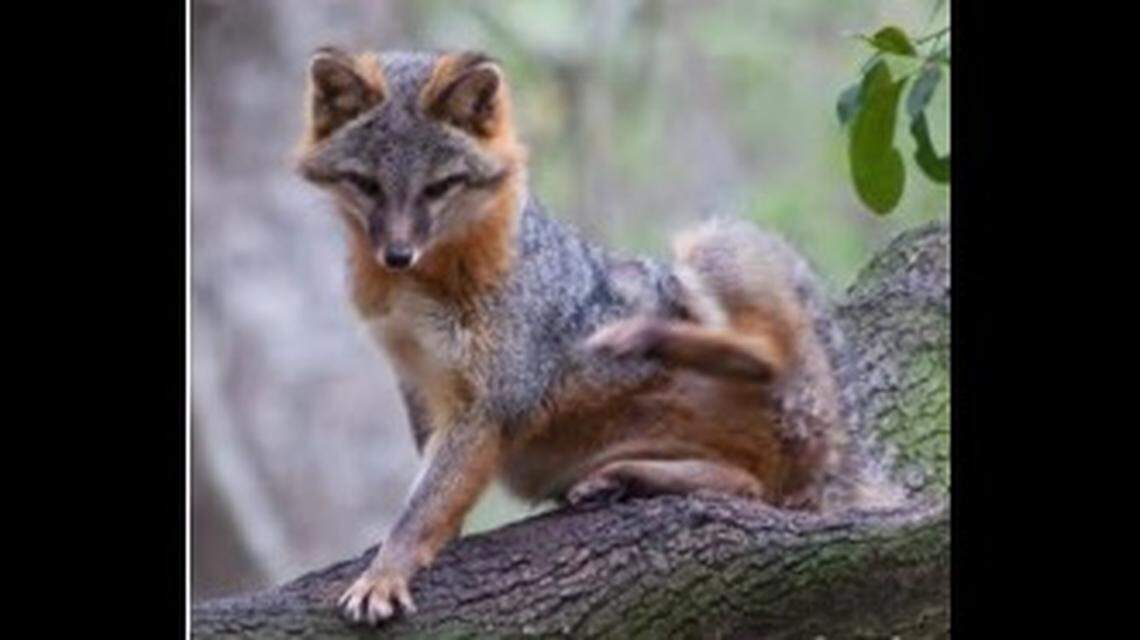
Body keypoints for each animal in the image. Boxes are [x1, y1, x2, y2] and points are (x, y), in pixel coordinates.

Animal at [295, 47, 850, 625]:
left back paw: (651, 336)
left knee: (768, 357)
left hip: (712, 243)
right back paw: (627, 474)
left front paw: (385, 573)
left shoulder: (491, 401)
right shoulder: (417, 380)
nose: (398, 254)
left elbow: (423, 506)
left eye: (439, 187)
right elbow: (431, 489)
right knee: (747, 485)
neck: (418, 290)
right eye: (367, 184)